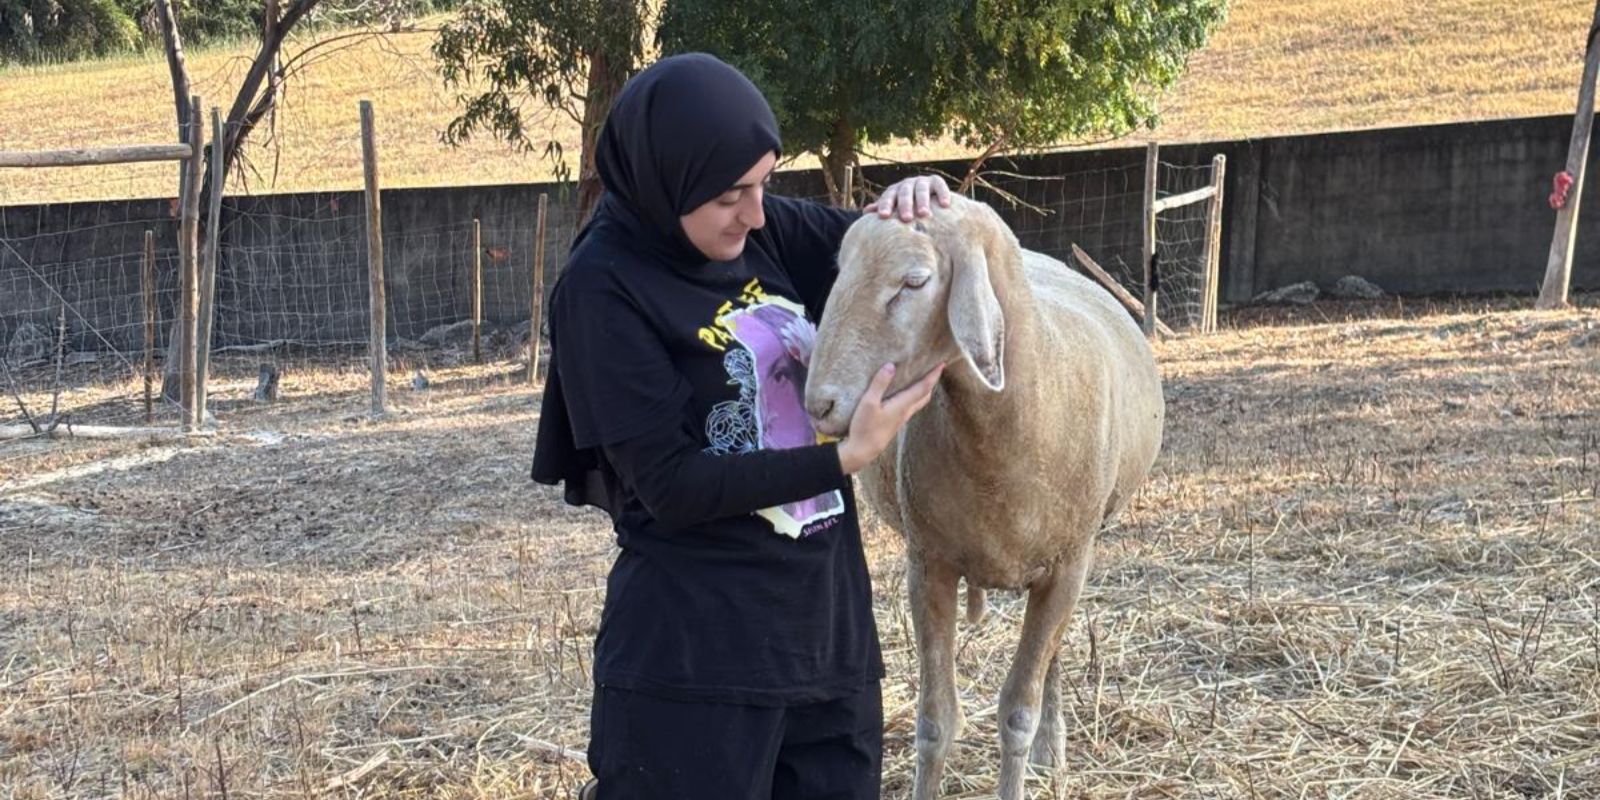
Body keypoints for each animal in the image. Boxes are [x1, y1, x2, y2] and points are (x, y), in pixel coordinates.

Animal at [804, 194, 1165, 800]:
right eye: (839, 269)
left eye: (914, 281)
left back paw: (1050, 751)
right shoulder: (928, 565)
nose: (819, 405)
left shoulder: (1068, 567)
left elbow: (1018, 711)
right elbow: (935, 719)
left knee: (1050, 661)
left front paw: (1029, 750)